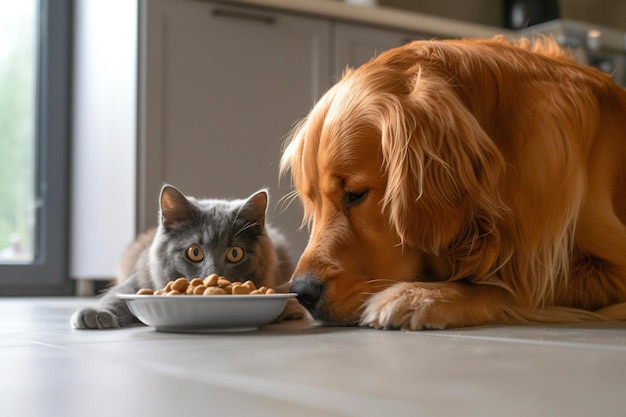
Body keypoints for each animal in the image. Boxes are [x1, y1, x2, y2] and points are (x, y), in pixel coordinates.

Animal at [72, 185, 296, 328]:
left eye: (235, 253)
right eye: (195, 252)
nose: (213, 276)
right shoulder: (138, 279)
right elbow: (115, 295)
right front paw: (95, 314)